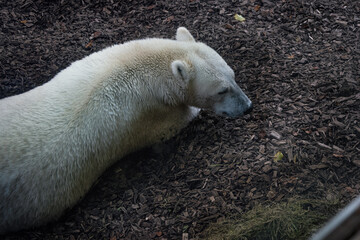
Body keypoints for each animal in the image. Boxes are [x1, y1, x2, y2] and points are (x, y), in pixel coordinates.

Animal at [0, 27, 253, 233]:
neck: (139, 65)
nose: (247, 106)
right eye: (222, 90)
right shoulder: (147, 116)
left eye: (233, 74)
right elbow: (177, 119)